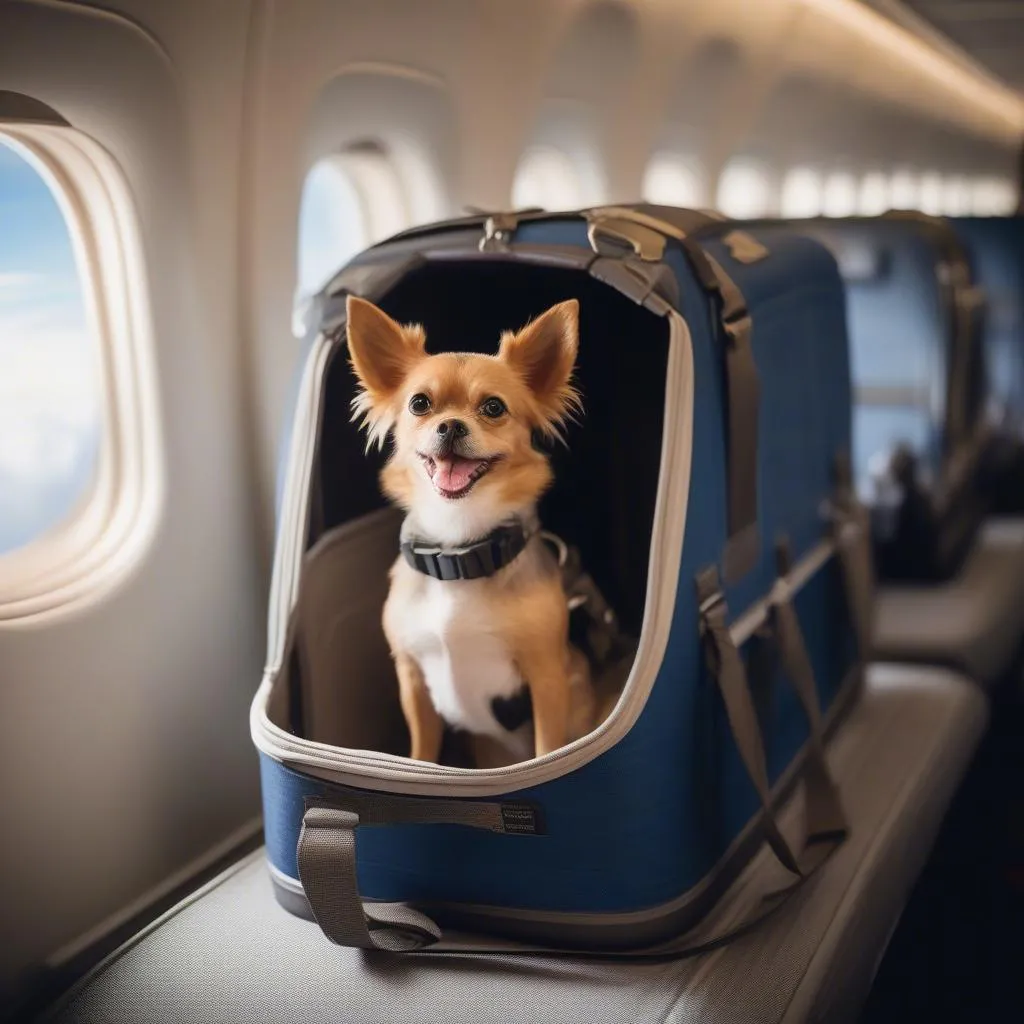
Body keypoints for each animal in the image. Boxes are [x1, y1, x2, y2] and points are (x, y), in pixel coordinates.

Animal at [348, 292, 598, 765]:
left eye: (493, 408)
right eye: (419, 404)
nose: (450, 425)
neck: (458, 548)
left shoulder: (548, 678)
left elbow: (547, 751)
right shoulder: (412, 681)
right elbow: (421, 754)